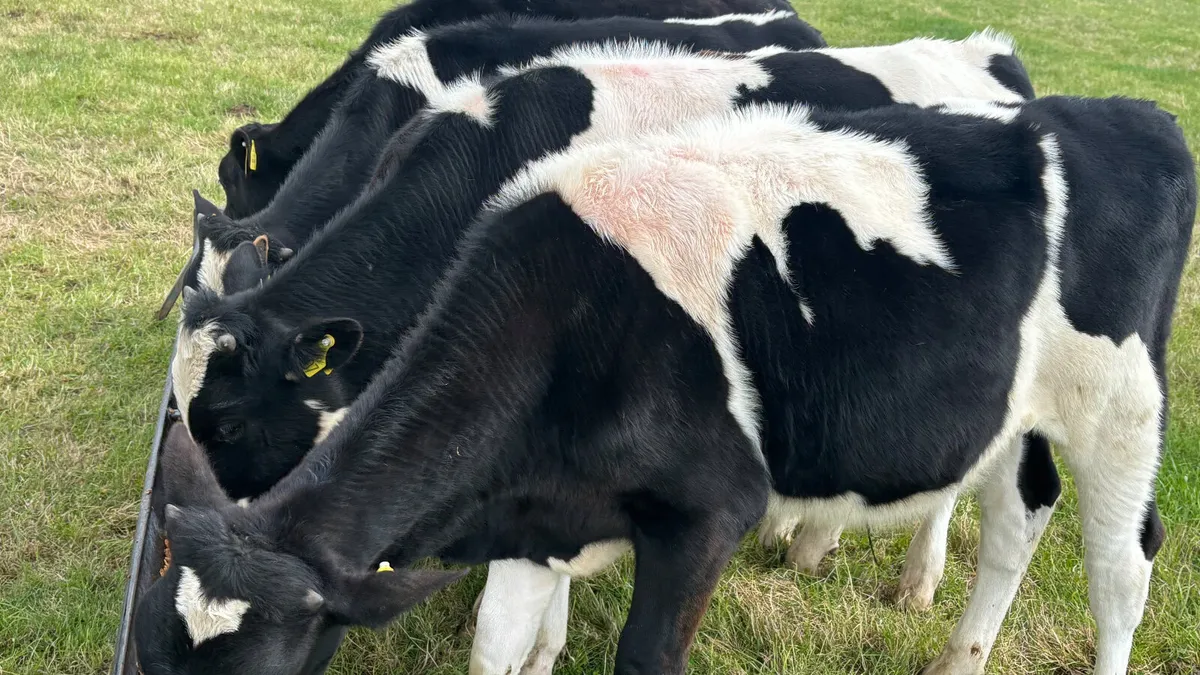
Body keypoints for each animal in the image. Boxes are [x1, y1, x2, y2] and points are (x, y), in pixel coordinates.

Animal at [135, 96, 1194, 675]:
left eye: (260, 674)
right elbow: (502, 649)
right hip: (1020, 411)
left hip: (1123, 405)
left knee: (1120, 566)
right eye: (149, 656)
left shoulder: (711, 510)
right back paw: (956, 651)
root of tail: (1125, 112)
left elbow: (646, 654)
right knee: (1017, 519)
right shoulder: (539, 516)